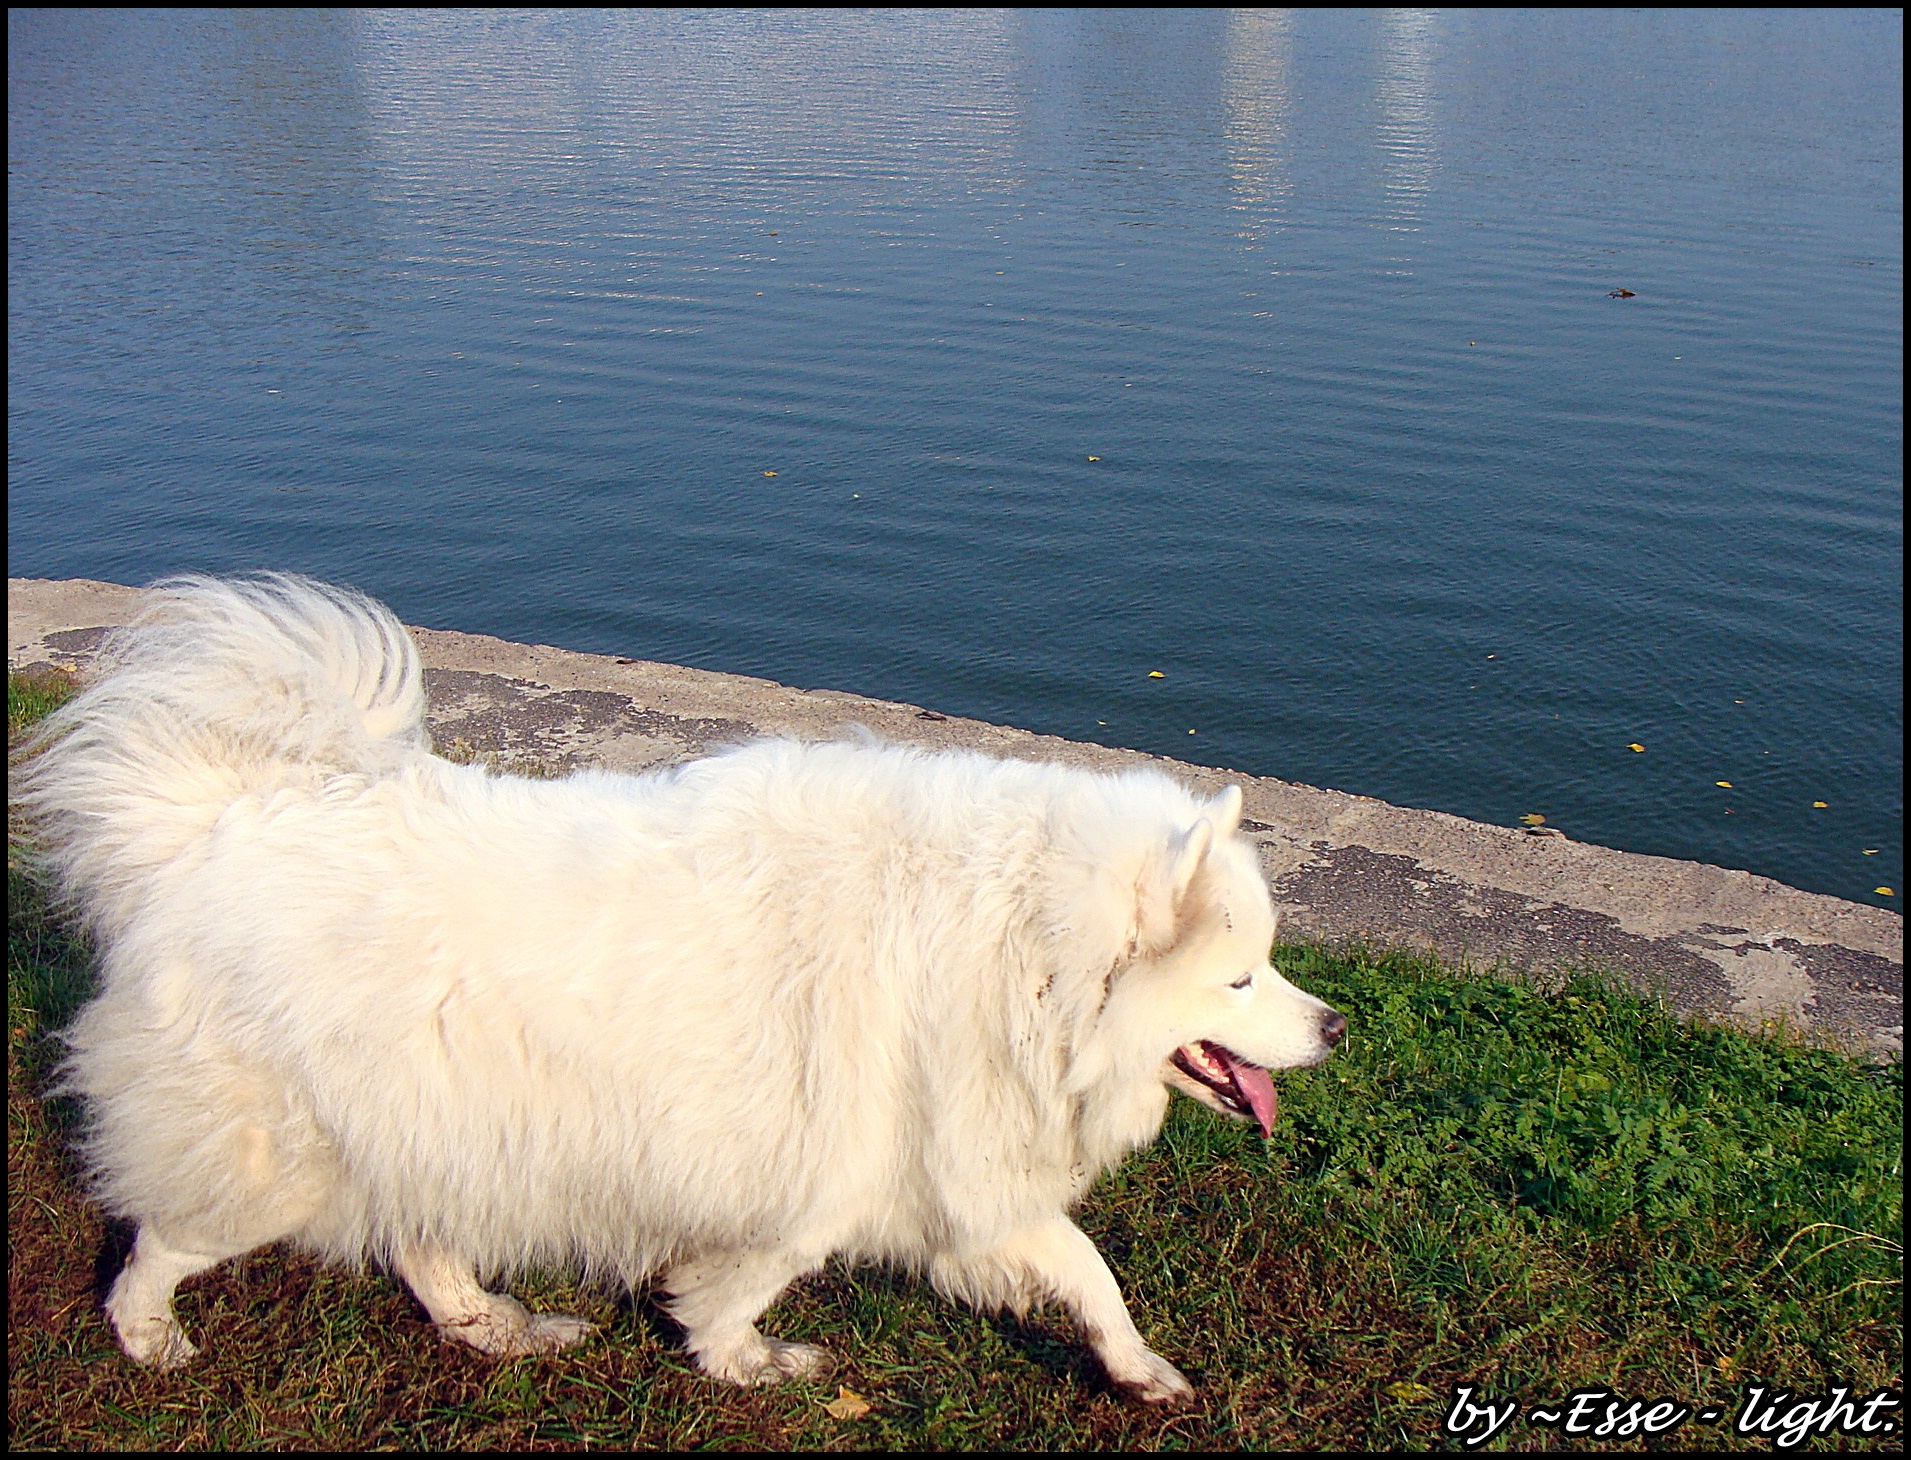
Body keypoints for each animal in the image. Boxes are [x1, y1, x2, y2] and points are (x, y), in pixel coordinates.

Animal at [22, 569, 1352, 1406]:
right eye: (1242, 974)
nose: (1336, 1024)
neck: (1022, 953)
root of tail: (215, 822)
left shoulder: (956, 1167)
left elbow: (1089, 1275)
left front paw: (1140, 1373)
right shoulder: (840, 1166)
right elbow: (754, 1276)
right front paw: (738, 1358)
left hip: (430, 1127)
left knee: (420, 1244)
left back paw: (496, 1325)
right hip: (282, 1155)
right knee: (162, 1236)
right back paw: (150, 1337)